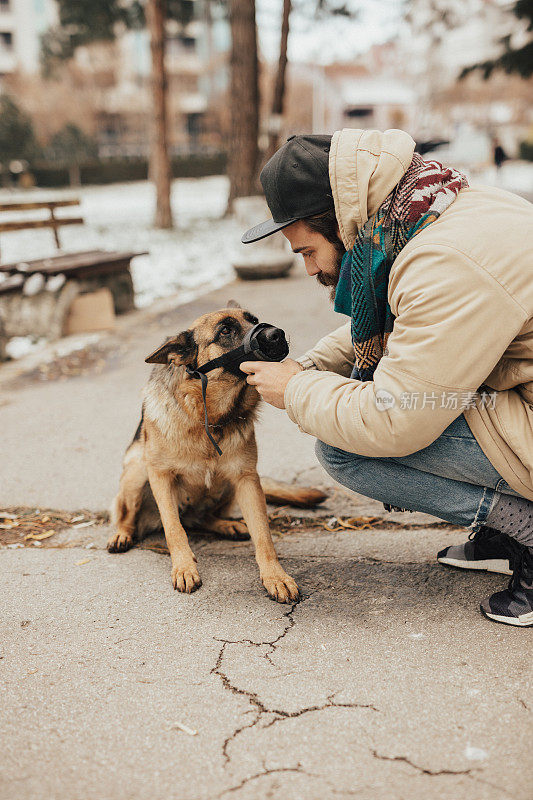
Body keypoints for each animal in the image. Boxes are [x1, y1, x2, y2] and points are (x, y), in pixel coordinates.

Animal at [105, 304, 320, 604]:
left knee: (205, 518)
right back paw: (122, 536)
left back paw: (228, 525)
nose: (277, 333)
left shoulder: (247, 480)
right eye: (225, 330)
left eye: (253, 319)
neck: (206, 415)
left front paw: (275, 577)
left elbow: (263, 535)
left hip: (227, 486)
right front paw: (184, 568)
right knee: (128, 517)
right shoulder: (160, 477)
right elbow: (174, 529)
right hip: (137, 470)